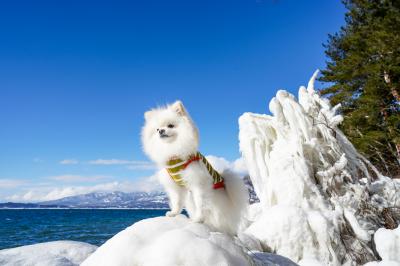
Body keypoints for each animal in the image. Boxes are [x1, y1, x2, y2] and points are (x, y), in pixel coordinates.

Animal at [141, 101, 247, 234]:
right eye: (157, 129)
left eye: (170, 125)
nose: (161, 131)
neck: (173, 151)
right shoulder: (175, 186)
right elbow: (177, 201)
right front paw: (174, 214)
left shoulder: (198, 183)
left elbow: (200, 203)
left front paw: (198, 219)